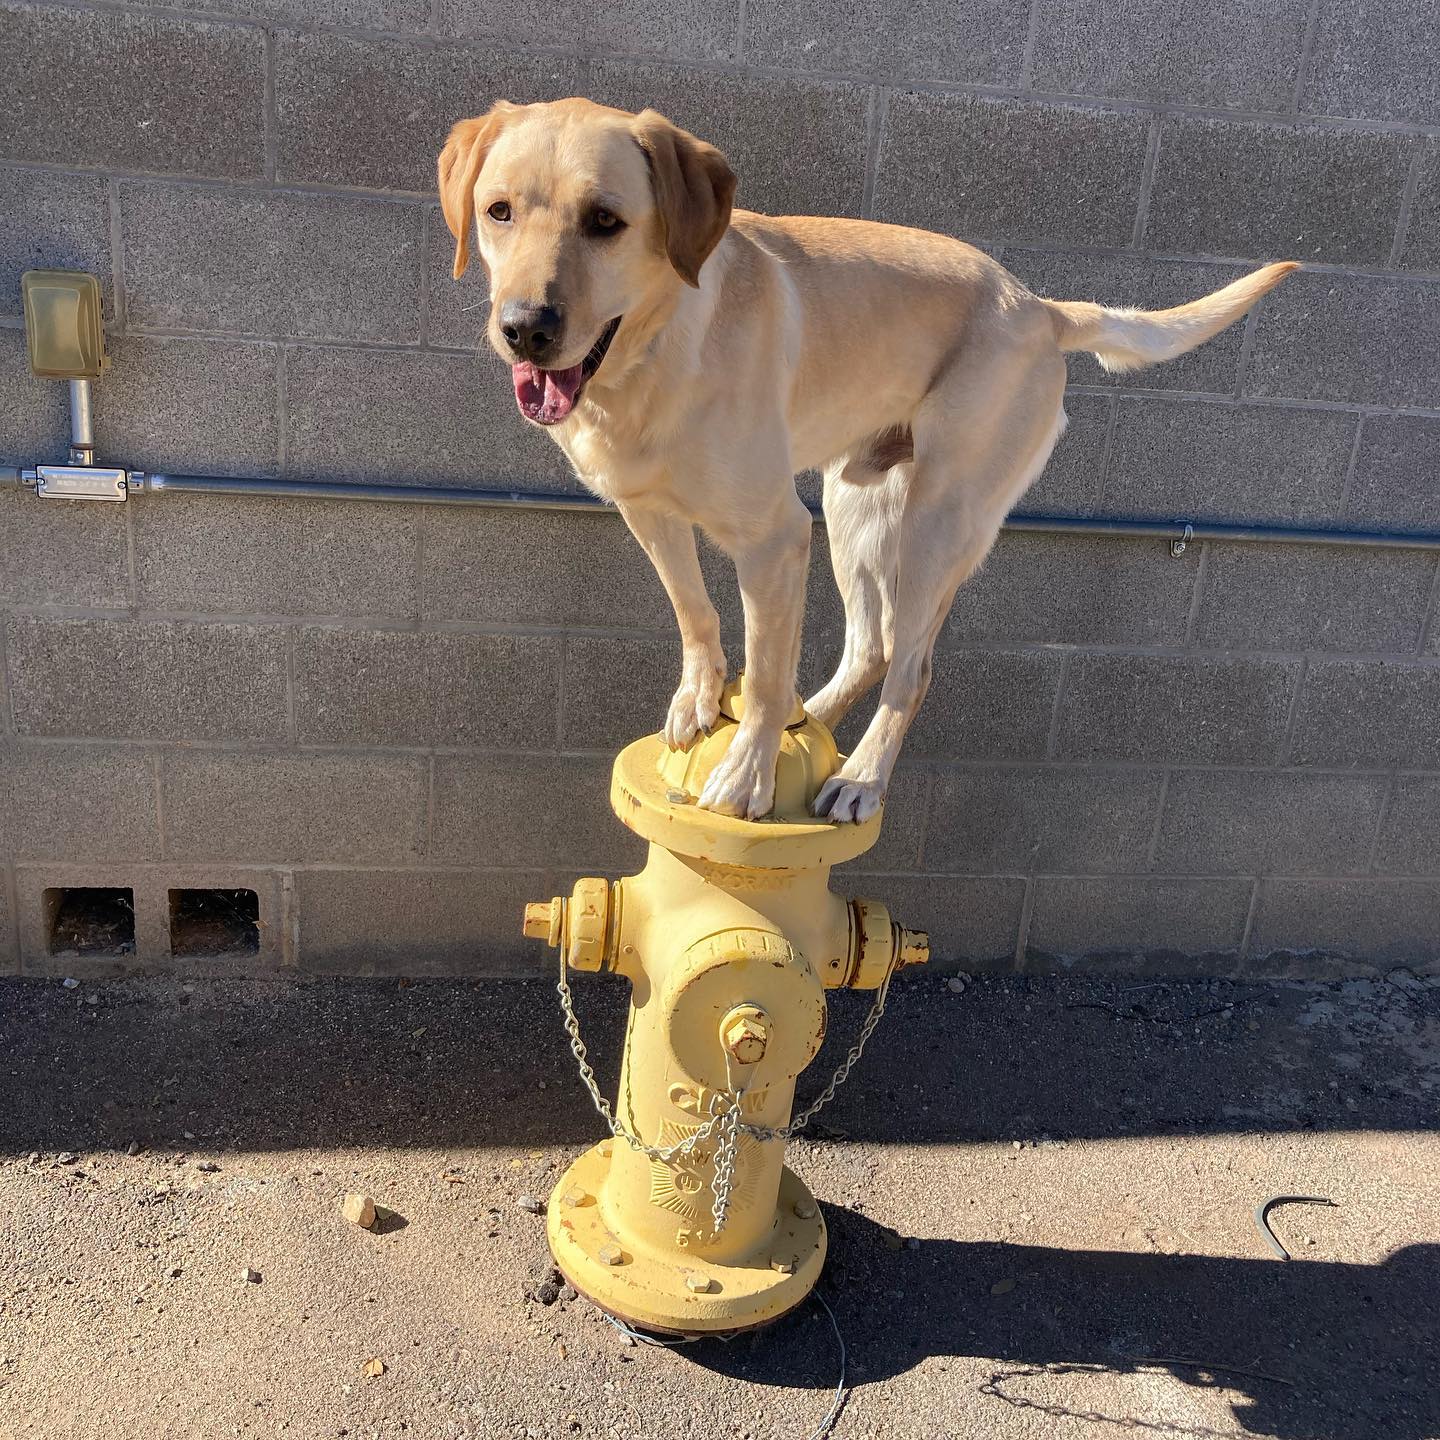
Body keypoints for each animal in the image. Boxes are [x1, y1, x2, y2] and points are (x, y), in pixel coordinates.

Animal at [434, 98, 1296, 823]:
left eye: (606, 221)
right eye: (498, 212)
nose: (525, 328)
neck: (653, 353)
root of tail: (1042, 308)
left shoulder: (776, 537)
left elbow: (766, 664)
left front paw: (745, 777)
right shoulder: (646, 509)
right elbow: (695, 610)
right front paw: (698, 698)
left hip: (937, 524)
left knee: (912, 668)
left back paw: (860, 778)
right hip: (855, 504)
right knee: (873, 646)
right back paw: (810, 720)